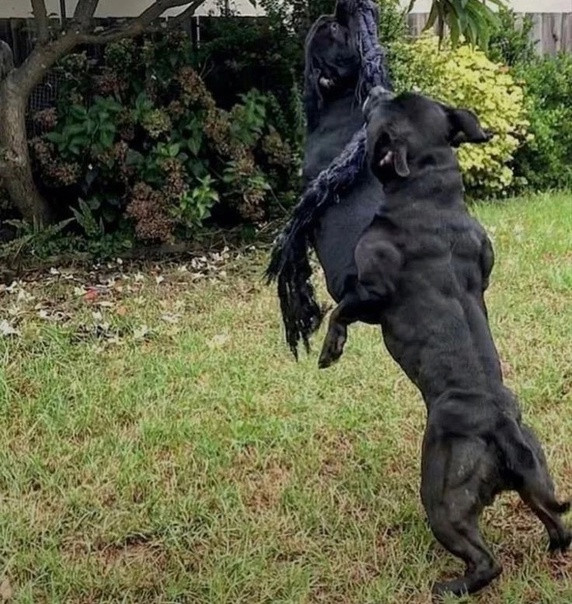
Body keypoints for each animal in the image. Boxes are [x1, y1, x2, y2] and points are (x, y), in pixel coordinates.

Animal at [319, 86, 571, 596]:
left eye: (379, 112)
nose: (376, 89)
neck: (428, 192)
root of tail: (501, 428)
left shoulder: (371, 292)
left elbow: (341, 309)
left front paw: (329, 349)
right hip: (538, 474)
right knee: (557, 521)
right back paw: (553, 548)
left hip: (443, 499)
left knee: (485, 560)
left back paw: (451, 588)